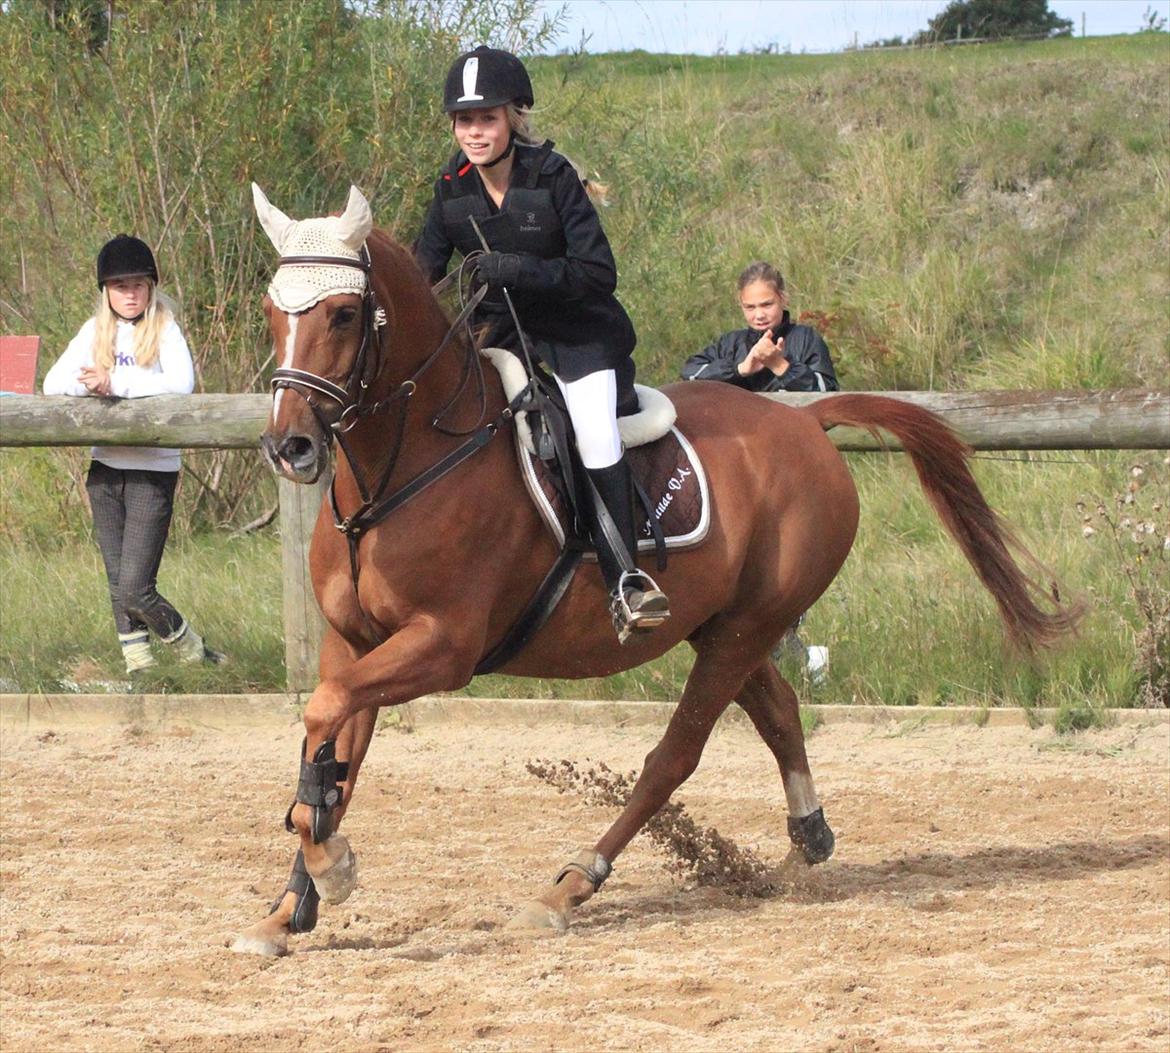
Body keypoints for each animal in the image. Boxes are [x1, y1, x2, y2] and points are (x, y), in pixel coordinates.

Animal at [230, 187, 1076, 954]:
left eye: (344, 315)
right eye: (274, 311)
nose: (289, 447)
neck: (402, 470)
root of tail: (803, 422)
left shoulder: (443, 645)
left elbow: (323, 722)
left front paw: (330, 869)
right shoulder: (354, 643)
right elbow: (330, 757)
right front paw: (291, 905)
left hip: (744, 627)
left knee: (675, 755)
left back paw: (571, 884)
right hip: (726, 624)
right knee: (778, 710)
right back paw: (807, 834)